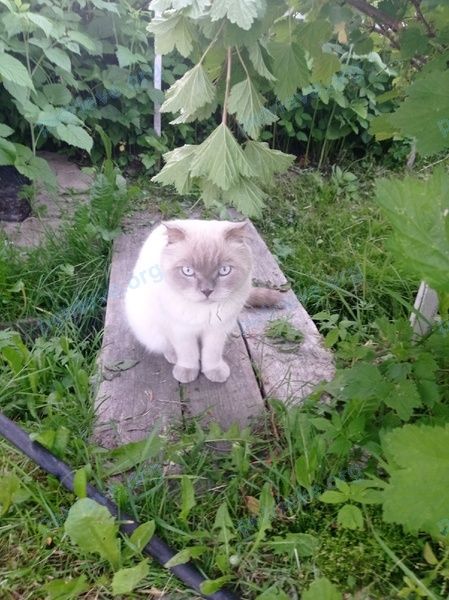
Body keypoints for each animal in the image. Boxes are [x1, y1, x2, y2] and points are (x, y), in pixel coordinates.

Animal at [124, 220, 280, 384]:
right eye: (187, 271)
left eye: (224, 270)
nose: (206, 291)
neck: (204, 313)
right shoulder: (181, 330)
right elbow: (188, 354)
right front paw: (187, 372)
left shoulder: (217, 330)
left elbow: (212, 354)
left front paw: (214, 372)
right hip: (149, 328)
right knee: (165, 345)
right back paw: (173, 356)